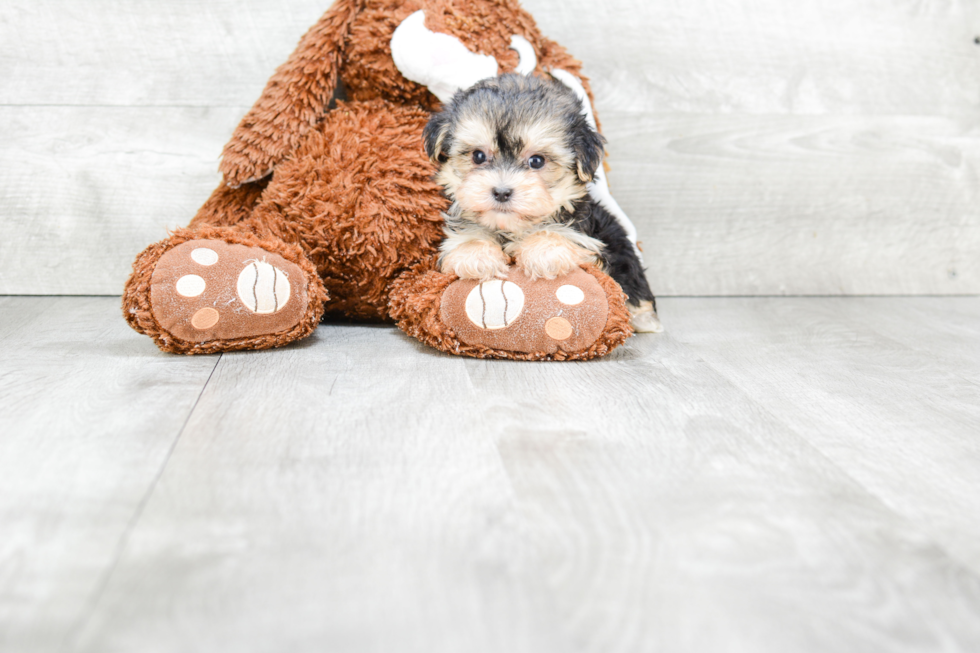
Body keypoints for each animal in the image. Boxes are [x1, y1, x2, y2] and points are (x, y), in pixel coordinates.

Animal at [422, 72, 660, 332]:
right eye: (478, 156)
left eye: (536, 161)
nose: (502, 192)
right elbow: (466, 237)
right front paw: (475, 254)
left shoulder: (588, 238)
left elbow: (562, 236)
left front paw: (544, 252)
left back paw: (644, 318)